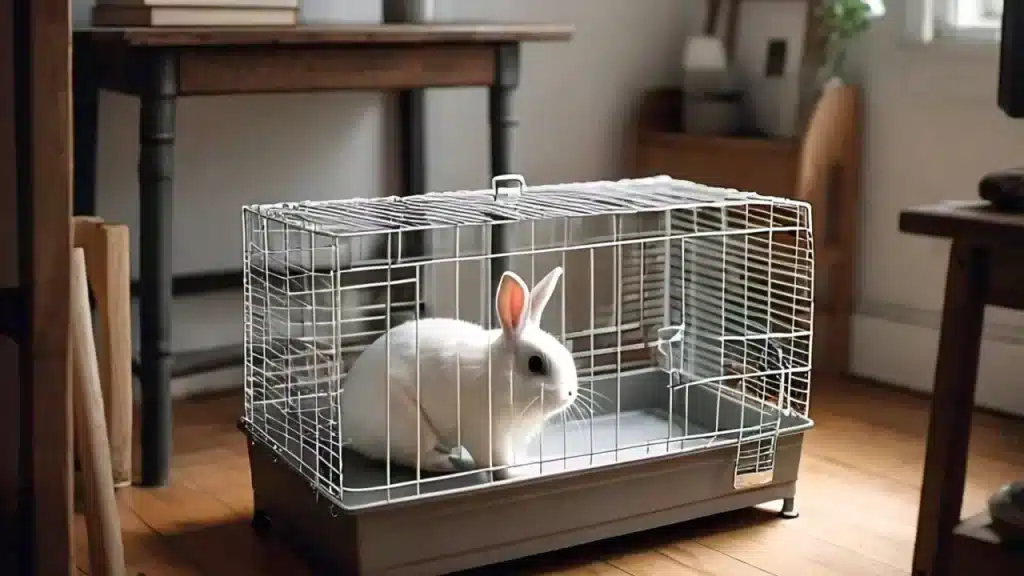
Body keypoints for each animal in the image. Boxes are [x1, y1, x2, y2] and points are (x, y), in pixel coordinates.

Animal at [342, 266, 577, 473]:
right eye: (535, 363)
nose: (570, 394)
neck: (502, 377)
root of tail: (349, 426)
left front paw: (526, 463)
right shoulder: (489, 435)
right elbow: (498, 463)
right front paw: (517, 473)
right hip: (408, 425)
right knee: (413, 457)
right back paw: (445, 464)